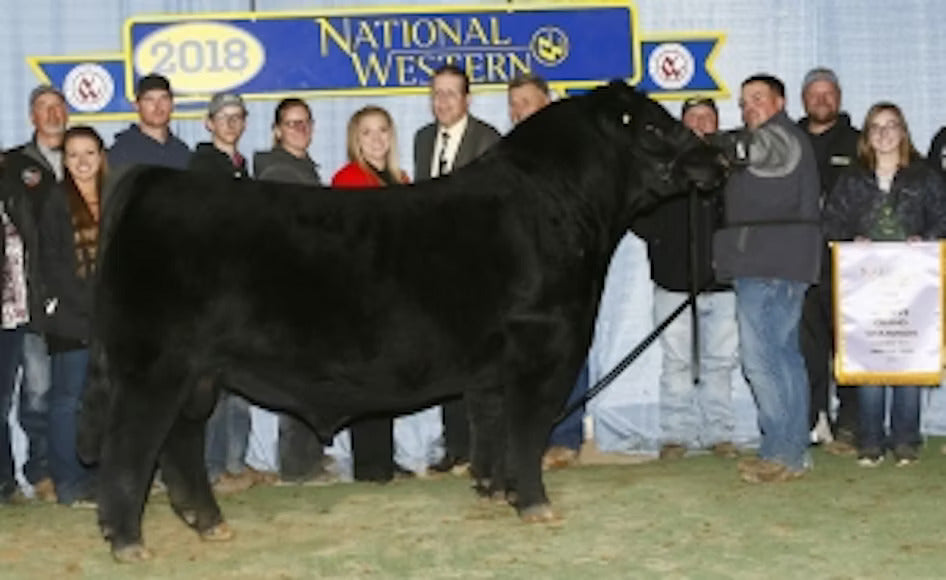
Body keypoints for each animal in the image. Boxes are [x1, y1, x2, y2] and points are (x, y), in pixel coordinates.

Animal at [77, 81, 726, 561]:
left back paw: (207, 521)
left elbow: (491, 426)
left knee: (179, 441)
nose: (717, 158)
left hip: (196, 372)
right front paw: (534, 503)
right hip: (152, 366)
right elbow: (527, 430)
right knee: (131, 443)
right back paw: (128, 540)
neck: (559, 205)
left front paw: (491, 489)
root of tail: (153, 180)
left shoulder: (494, 366)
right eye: (652, 127)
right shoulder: (544, 346)